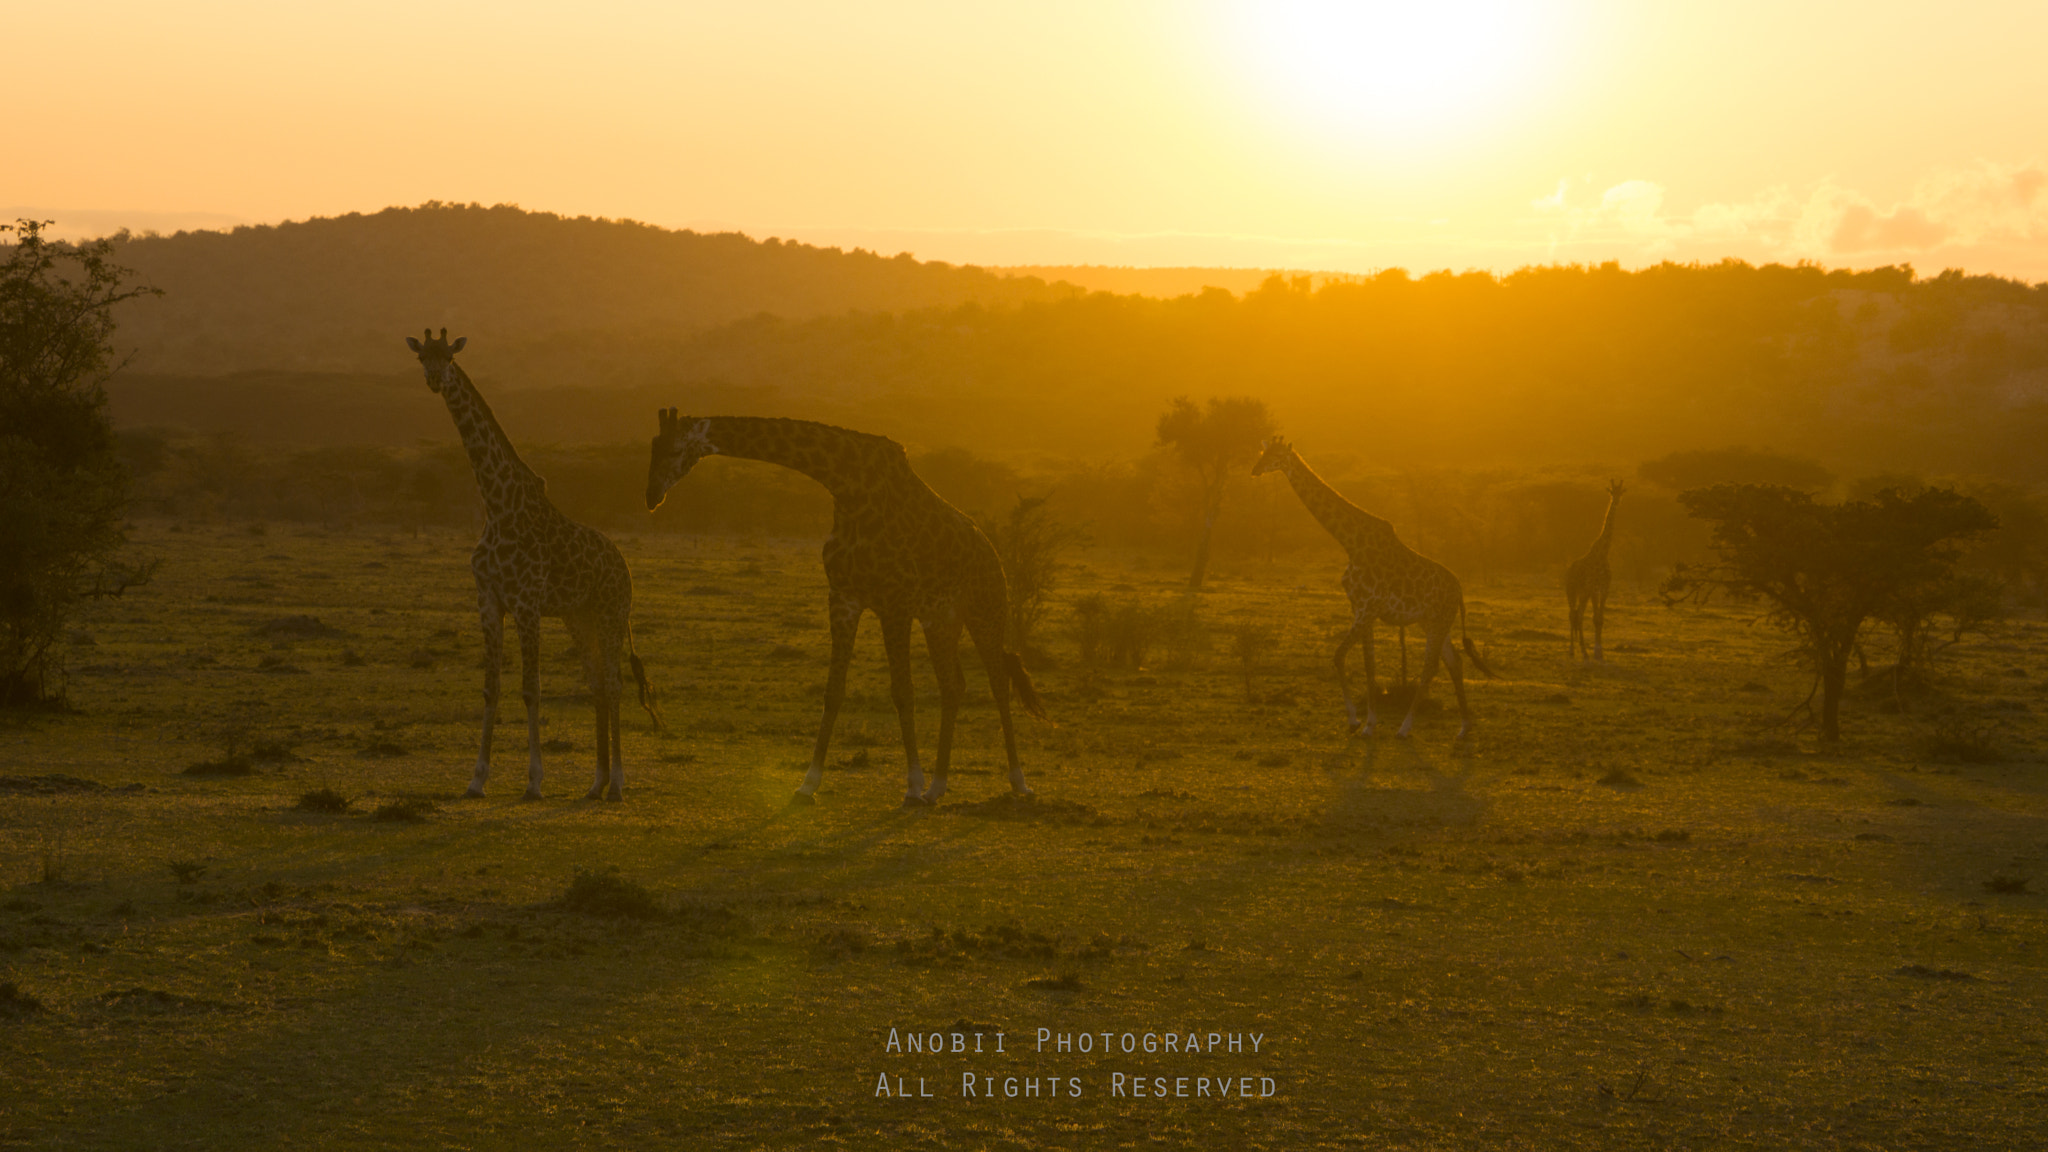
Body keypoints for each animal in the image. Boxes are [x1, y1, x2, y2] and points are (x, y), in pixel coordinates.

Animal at [406, 330, 660, 801]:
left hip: (612, 613)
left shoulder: (526, 605)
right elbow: (491, 688)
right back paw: (595, 783)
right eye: (422, 358)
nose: (434, 379)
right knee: (598, 684)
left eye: (449, 357)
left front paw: (535, 781)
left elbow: (530, 689)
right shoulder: (489, 601)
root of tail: (624, 567)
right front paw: (476, 779)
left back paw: (617, 783)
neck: (497, 505)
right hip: (581, 618)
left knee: (615, 684)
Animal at [645, 412, 1046, 806]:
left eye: (675, 449)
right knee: (954, 686)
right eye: (652, 446)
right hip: (941, 620)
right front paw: (808, 784)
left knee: (998, 683)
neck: (846, 484)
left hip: (986, 612)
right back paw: (938, 786)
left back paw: (1017, 782)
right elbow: (833, 691)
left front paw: (912, 786)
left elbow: (903, 692)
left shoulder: (894, 603)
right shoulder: (843, 598)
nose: (651, 496)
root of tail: (994, 556)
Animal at [1251, 437, 1493, 738]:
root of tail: (1459, 591)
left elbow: (1339, 655)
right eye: (1262, 452)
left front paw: (1355, 720)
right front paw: (1369, 724)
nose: (1255, 470)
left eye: (1276, 456)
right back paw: (1464, 727)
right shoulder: (1360, 608)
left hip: (1439, 621)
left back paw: (1405, 728)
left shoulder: (1368, 608)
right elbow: (1369, 664)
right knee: (1454, 662)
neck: (1351, 543)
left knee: (1431, 666)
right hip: (1431, 621)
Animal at [1565, 480, 1625, 662]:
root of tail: (1567, 572)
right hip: (1571, 591)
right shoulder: (1593, 588)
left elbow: (1600, 618)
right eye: (1612, 492)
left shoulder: (1604, 588)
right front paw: (1596, 652)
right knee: (1572, 615)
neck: (1603, 553)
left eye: (1621, 492)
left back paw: (1582, 650)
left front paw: (1599, 652)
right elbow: (1593, 618)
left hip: (1582, 593)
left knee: (1578, 615)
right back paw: (1573, 650)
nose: (1616, 501)